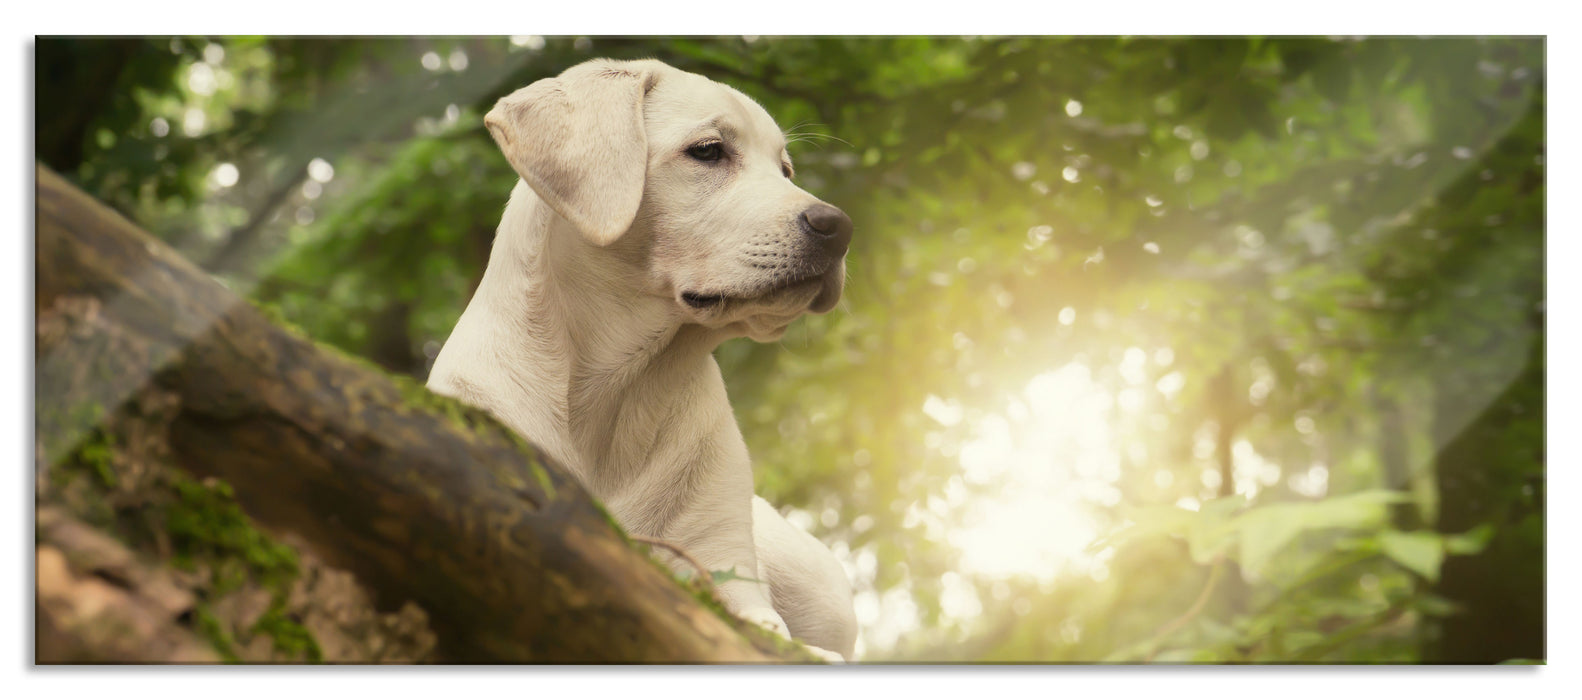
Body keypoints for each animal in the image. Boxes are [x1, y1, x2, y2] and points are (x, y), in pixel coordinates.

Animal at [427, 57, 860, 658]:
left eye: (786, 170)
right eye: (708, 151)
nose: (839, 228)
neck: (618, 385)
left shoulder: (720, 559)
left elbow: (764, 626)